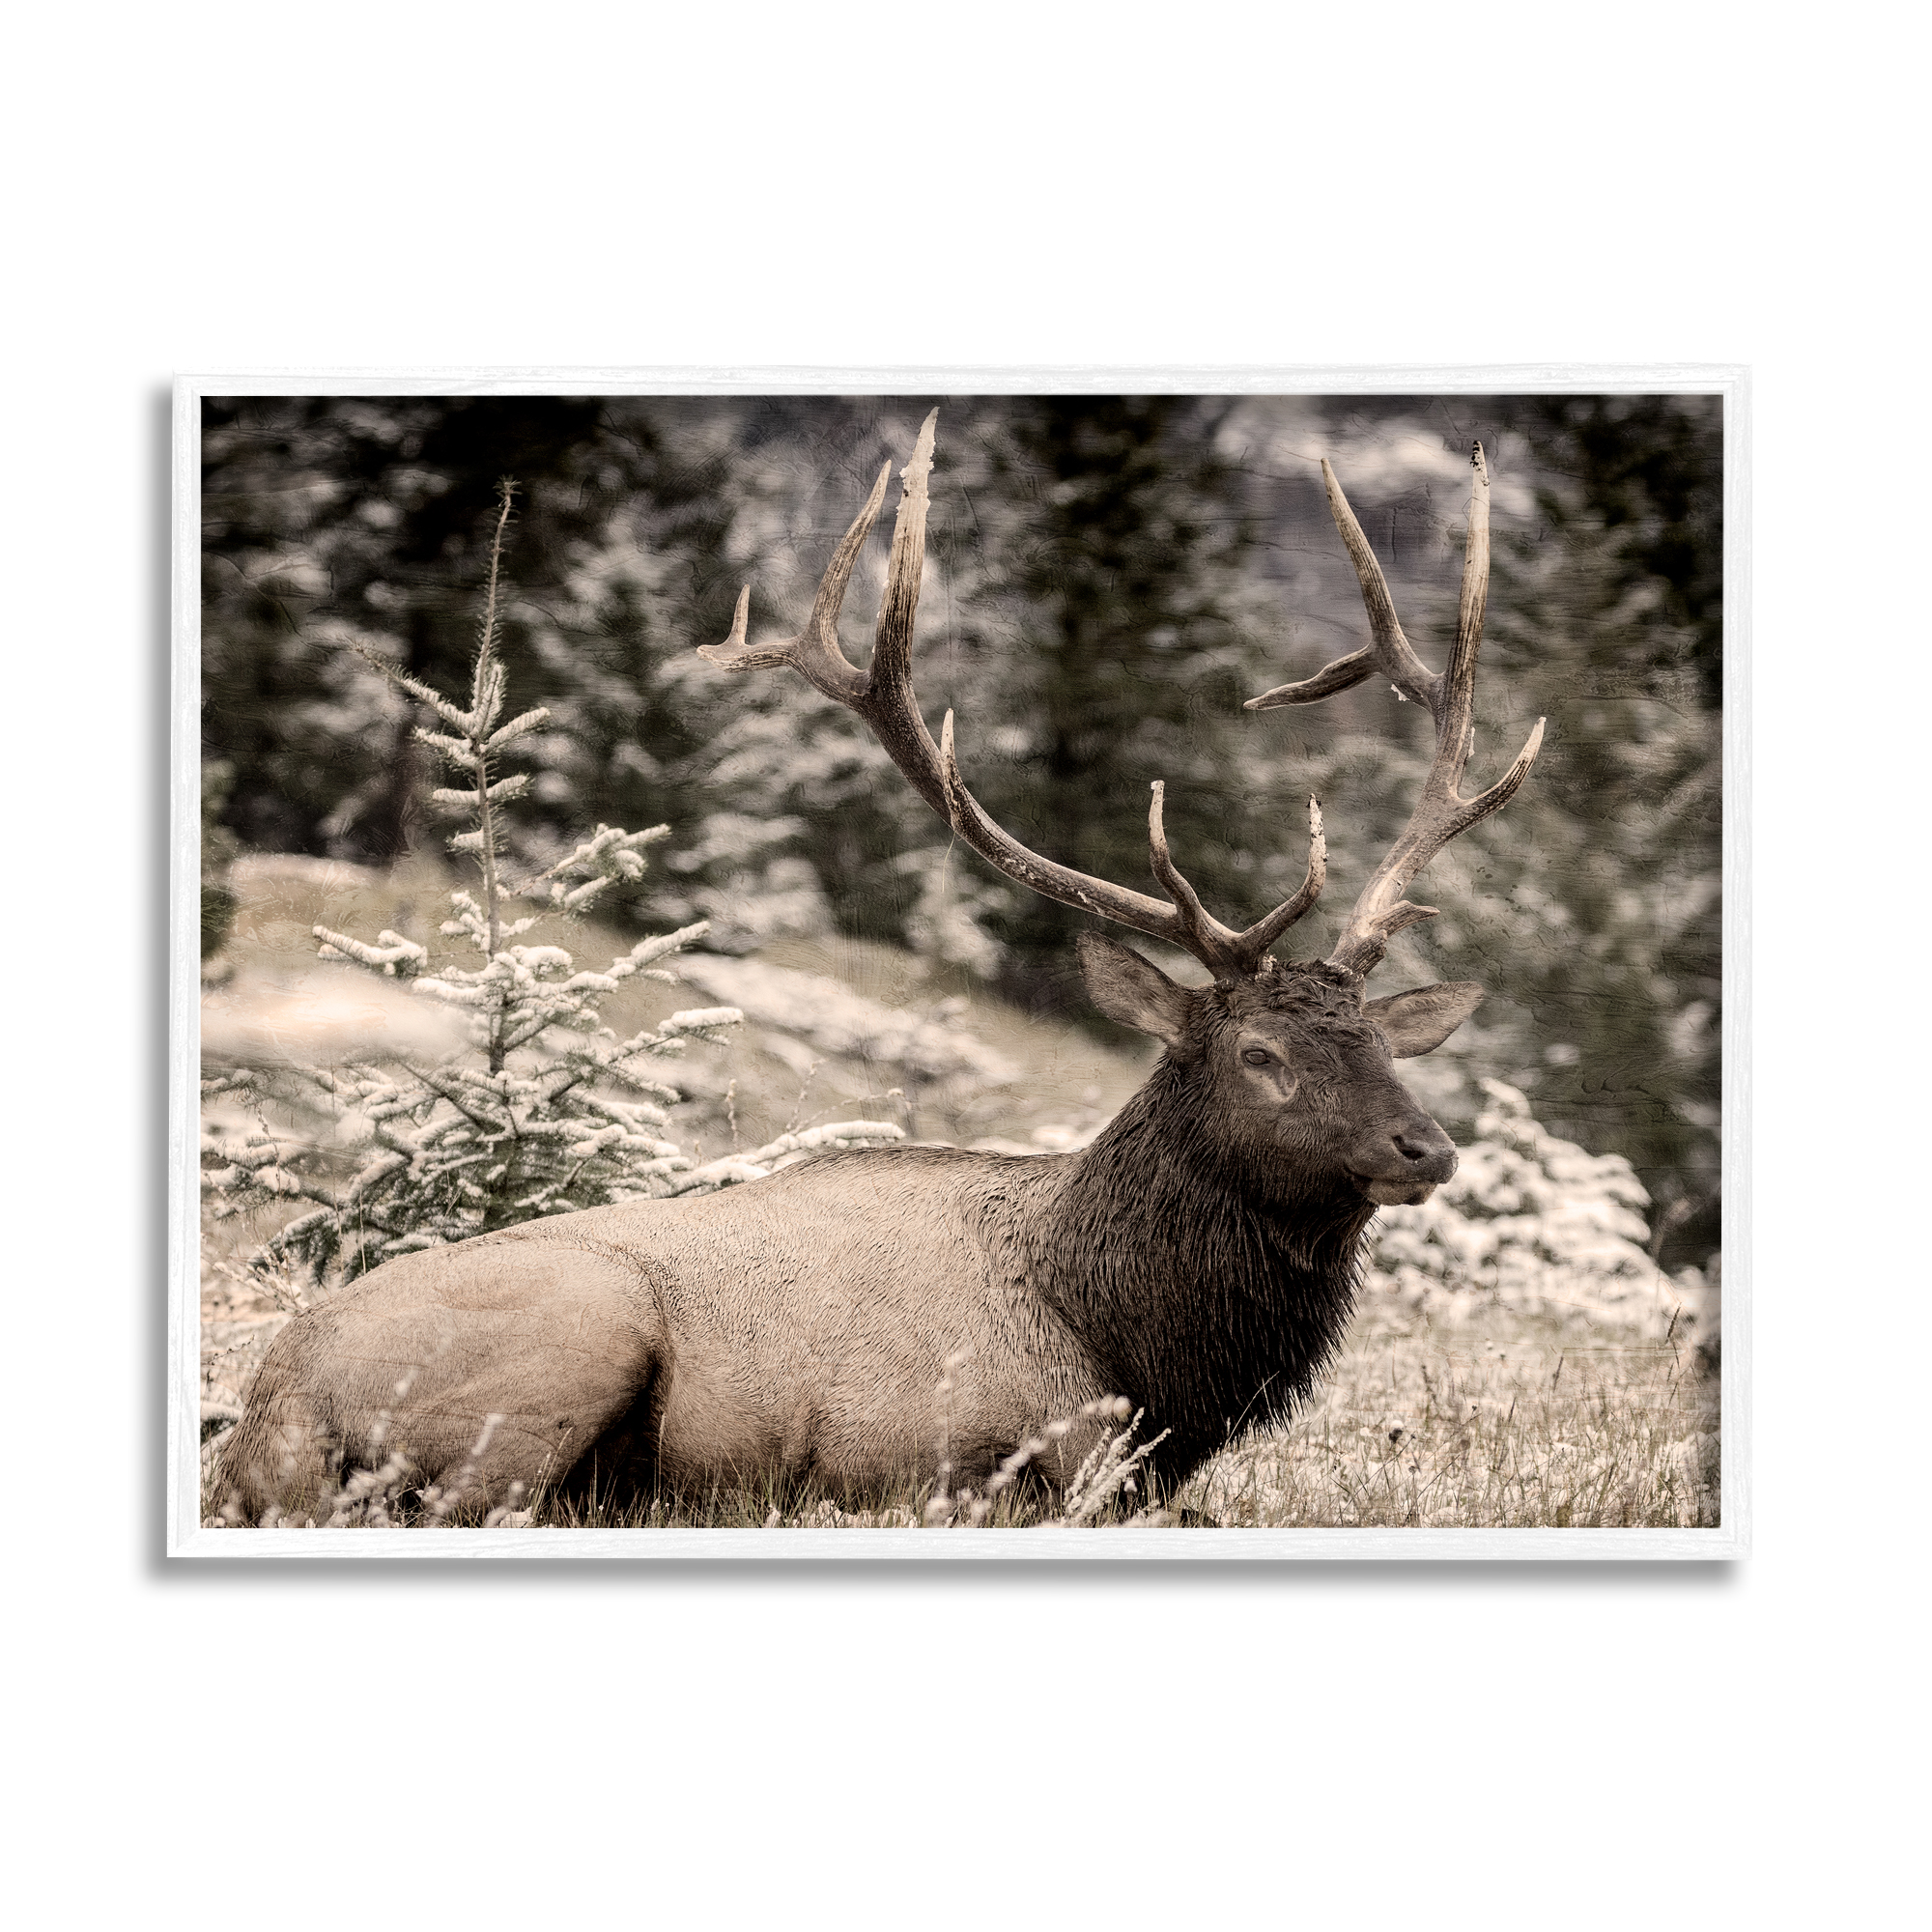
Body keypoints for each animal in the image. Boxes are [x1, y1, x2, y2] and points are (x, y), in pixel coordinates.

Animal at [213, 410, 1543, 1526]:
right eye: (1259, 1052)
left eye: (1378, 1039)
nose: (1424, 1145)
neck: (1137, 1348)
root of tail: (262, 1416)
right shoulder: (949, 1453)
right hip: (572, 1335)